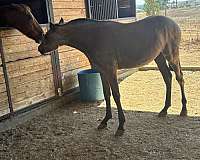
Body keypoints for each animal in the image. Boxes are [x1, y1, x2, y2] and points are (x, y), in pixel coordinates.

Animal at [38, 16, 187, 136]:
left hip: (171, 55)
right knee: (168, 78)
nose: (40, 49)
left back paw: (183, 110)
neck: (94, 37)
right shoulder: (102, 72)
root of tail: (174, 24)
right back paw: (164, 110)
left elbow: (116, 95)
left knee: (179, 78)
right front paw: (104, 121)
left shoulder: (110, 71)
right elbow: (106, 94)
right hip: (159, 57)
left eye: (47, 35)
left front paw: (120, 126)